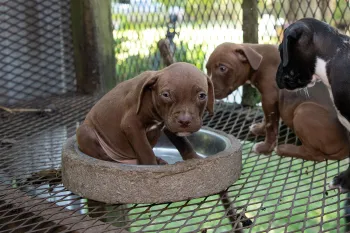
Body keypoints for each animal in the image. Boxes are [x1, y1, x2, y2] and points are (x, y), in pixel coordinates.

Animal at [76, 61, 213, 164]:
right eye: (166, 95)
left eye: (202, 96)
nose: (184, 121)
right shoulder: (131, 124)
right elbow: (146, 151)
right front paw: (152, 166)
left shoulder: (169, 122)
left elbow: (183, 143)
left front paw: (194, 158)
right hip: (86, 132)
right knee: (107, 158)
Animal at [206, 41, 348, 161]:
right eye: (207, 68)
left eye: (222, 68)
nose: (208, 93)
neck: (259, 62)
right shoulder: (268, 100)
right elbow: (267, 119)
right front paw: (260, 129)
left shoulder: (269, 98)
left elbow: (271, 125)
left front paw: (265, 147)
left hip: (304, 111)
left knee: (316, 155)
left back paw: (284, 149)